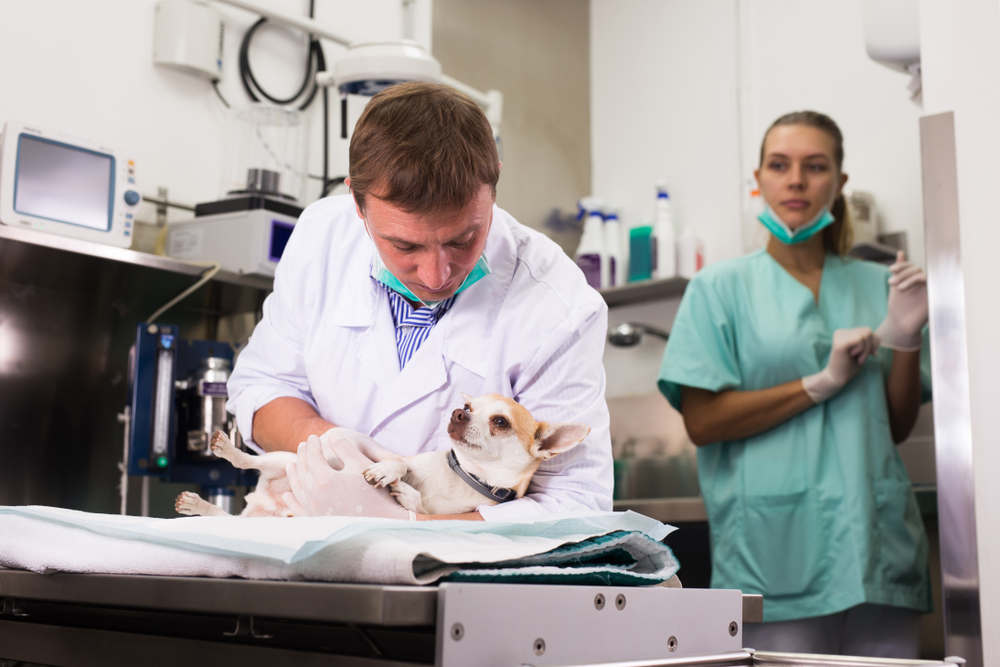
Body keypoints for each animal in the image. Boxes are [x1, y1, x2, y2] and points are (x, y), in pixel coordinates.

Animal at [176, 394, 588, 520]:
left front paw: (405, 495)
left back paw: (198, 505)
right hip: (286, 458)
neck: (462, 474)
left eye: (500, 421)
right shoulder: (397, 455)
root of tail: (260, 504)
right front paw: (389, 472)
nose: (458, 413)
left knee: (223, 516)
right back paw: (227, 450)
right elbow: (401, 461)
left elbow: (421, 510)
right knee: (248, 462)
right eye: (469, 407)